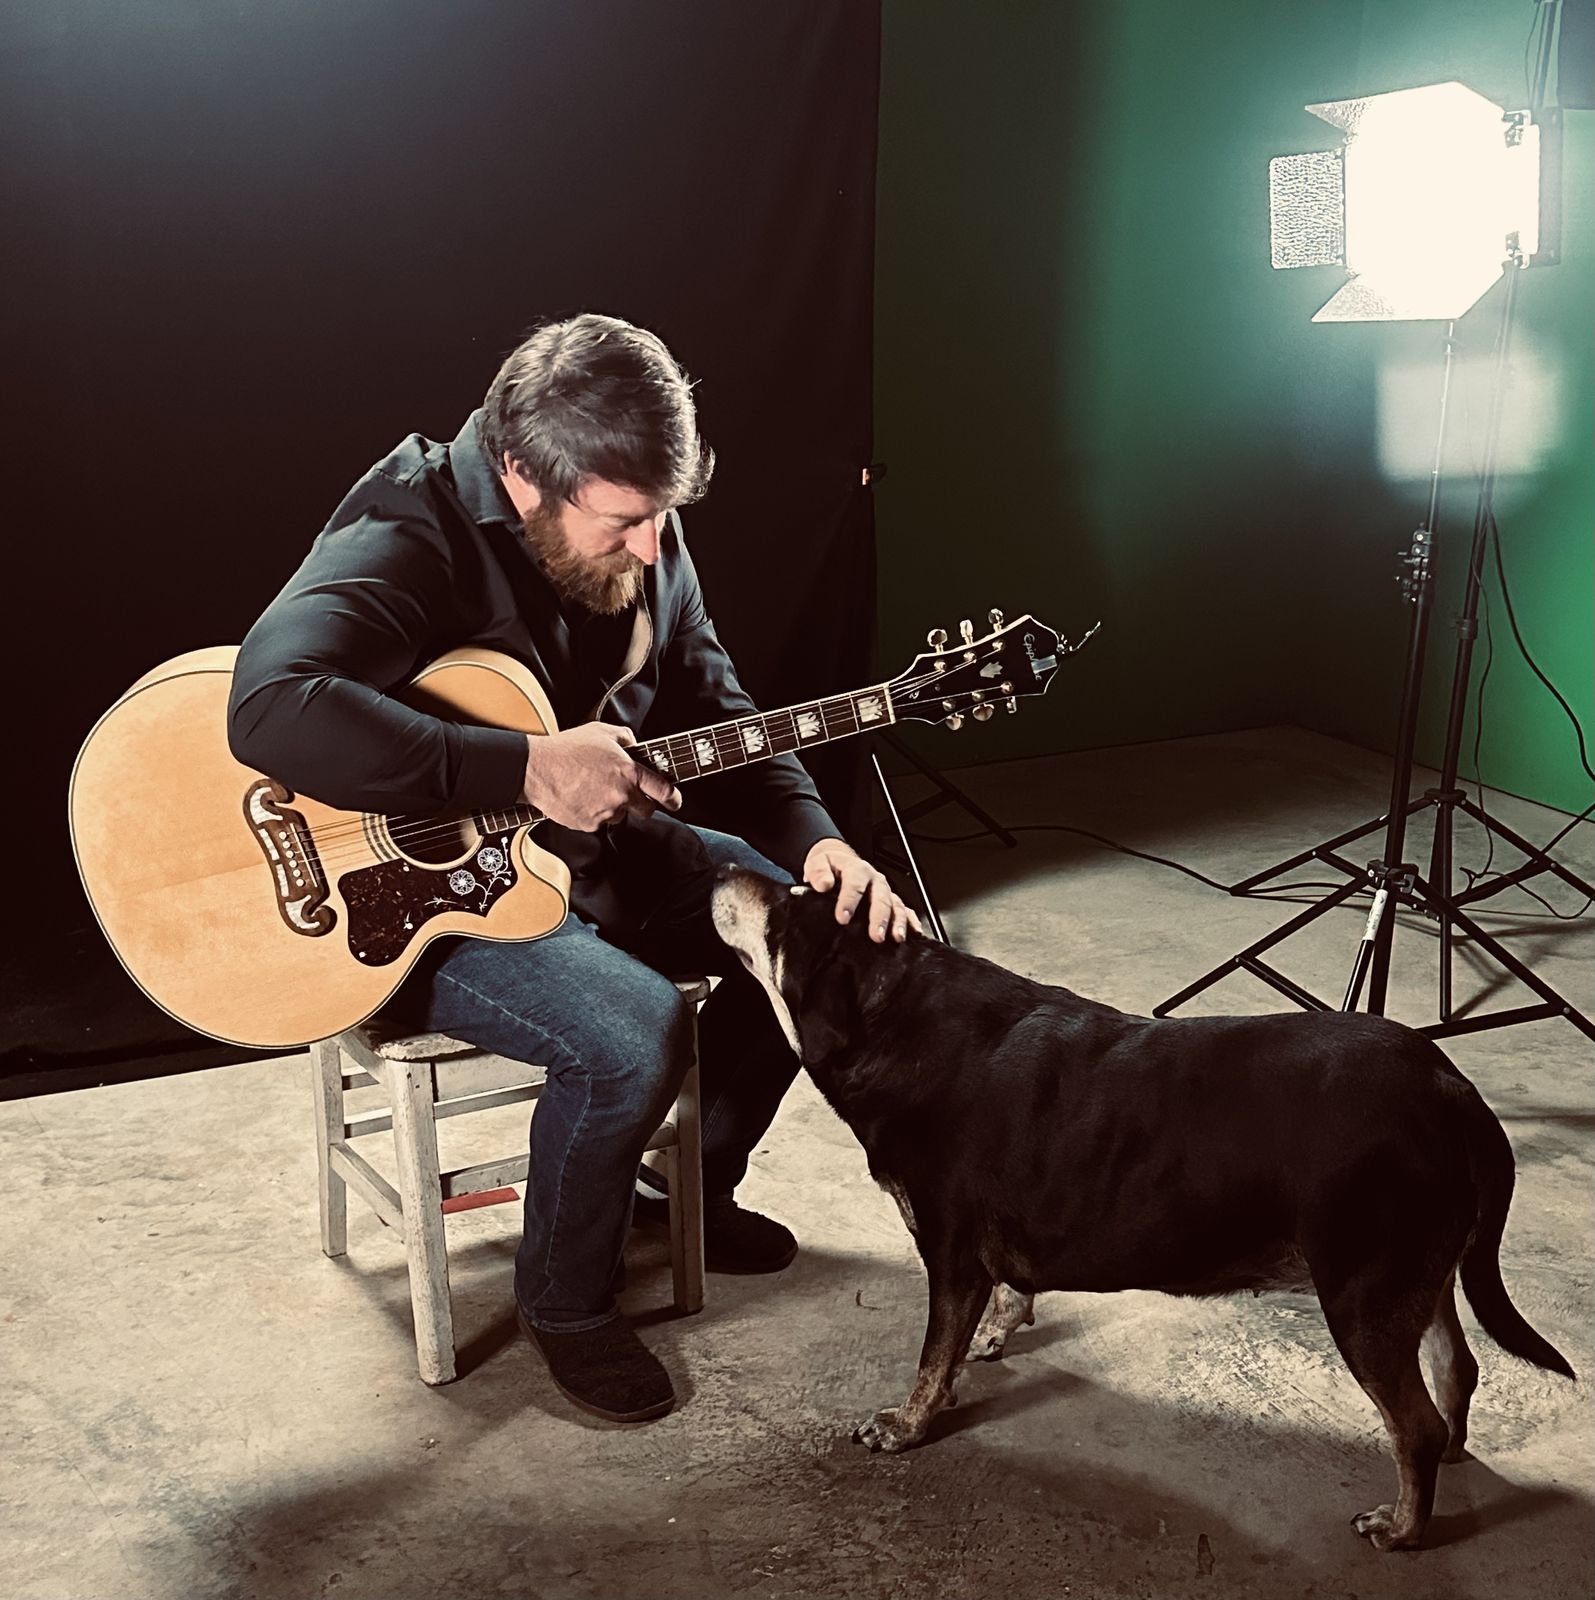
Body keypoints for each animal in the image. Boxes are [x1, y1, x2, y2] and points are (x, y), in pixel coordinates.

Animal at [709, 866, 1575, 1552]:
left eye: (784, 911)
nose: (721, 863)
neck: (904, 1016)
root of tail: (1451, 1088)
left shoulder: (949, 1254)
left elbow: (930, 1361)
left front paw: (907, 1425)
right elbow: (1006, 1297)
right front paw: (997, 1332)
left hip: (1362, 1293)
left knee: (1413, 1425)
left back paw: (1401, 1527)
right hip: (1417, 1276)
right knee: (1454, 1370)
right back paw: (1447, 1459)